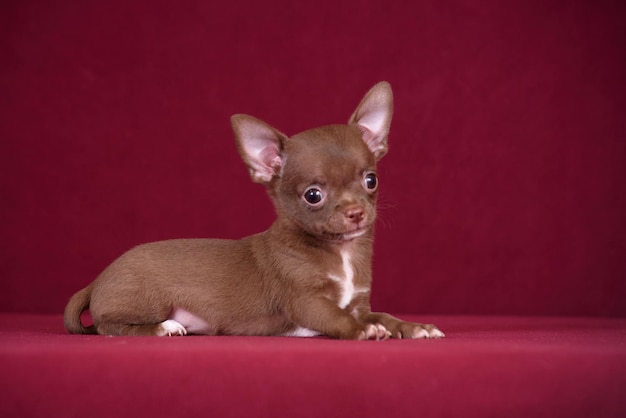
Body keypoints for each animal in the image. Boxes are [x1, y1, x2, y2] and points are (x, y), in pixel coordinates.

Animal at [63, 81, 444, 340]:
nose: (355, 212)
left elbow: (383, 314)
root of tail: (99, 278)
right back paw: (165, 327)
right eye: (313, 195)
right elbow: (337, 318)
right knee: (109, 325)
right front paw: (363, 331)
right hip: (146, 301)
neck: (341, 253)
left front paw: (413, 326)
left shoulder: (359, 303)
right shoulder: (305, 302)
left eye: (370, 180)